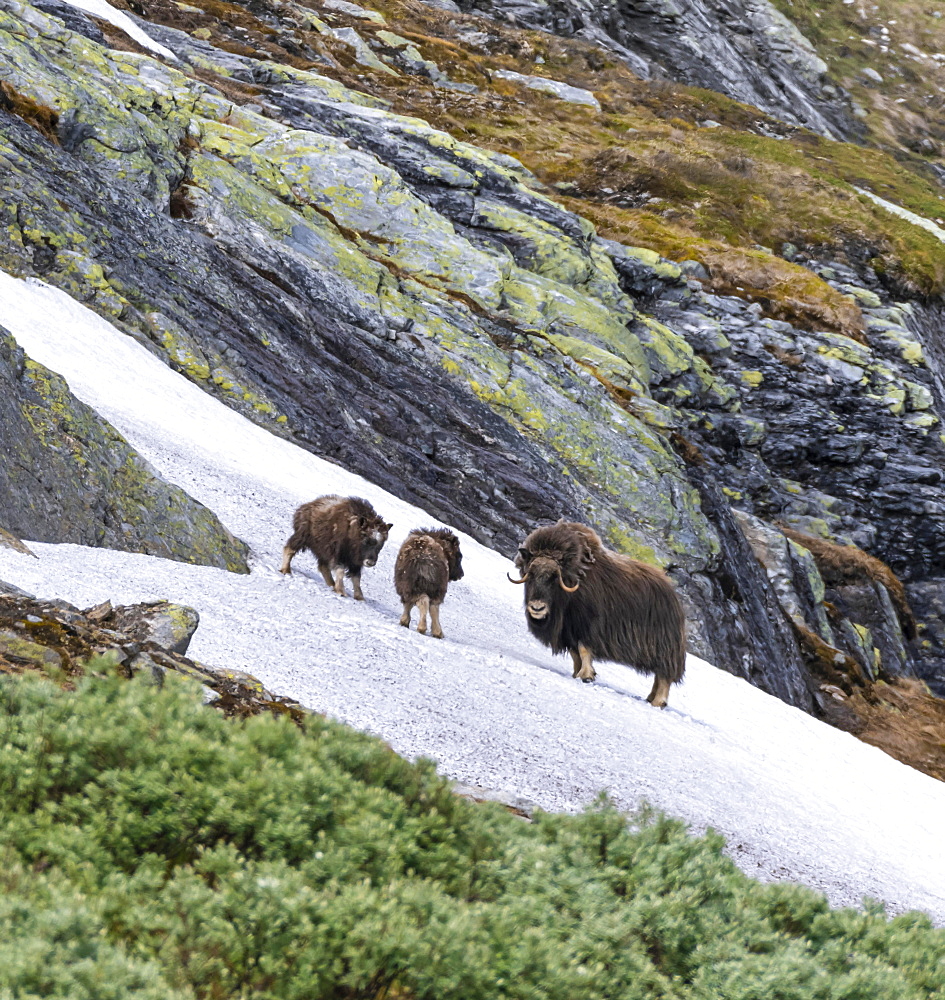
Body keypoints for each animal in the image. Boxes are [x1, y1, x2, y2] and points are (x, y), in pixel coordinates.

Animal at [508, 520, 684, 708]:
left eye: (554, 577)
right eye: (531, 574)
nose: (537, 608)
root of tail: (673, 595)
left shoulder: (587, 626)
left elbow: (584, 650)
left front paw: (586, 675)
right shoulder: (569, 631)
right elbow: (575, 654)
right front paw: (576, 674)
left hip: (664, 648)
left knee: (665, 676)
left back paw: (658, 702)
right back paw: (650, 698)